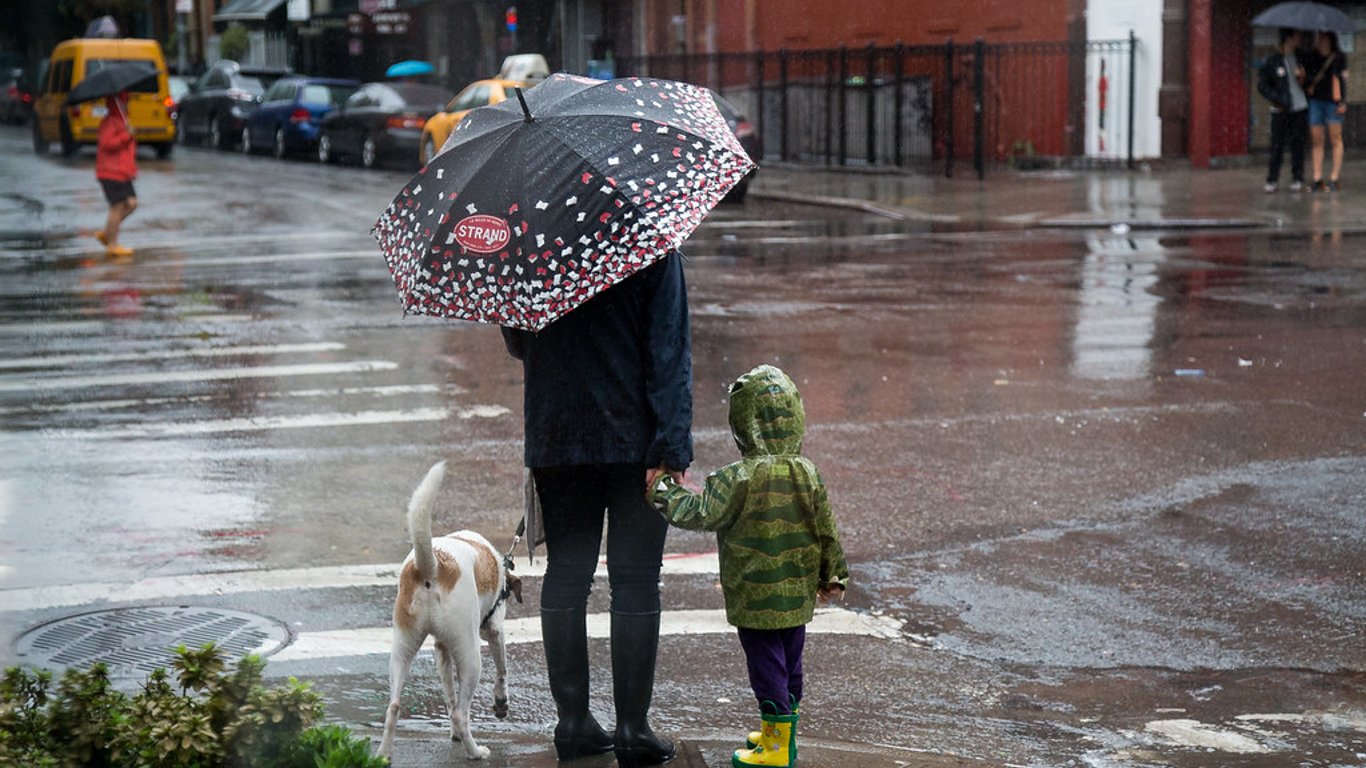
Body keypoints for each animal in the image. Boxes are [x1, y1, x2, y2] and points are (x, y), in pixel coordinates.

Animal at [379, 459, 521, 759]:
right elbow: (502, 670)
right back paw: (476, 751)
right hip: (471, 655)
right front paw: (501, 702)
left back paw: (384, 754)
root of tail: (432, 565)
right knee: (461, 713)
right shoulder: (494, 630)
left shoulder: (441, 649)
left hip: (403, 647)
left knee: (394, 706)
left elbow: (449, 694)